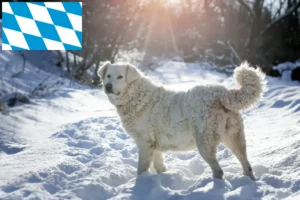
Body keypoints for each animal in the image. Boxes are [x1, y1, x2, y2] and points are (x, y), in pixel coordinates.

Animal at [98, 61, 264, 180]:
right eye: (108, 76)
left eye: (120, 77)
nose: (108, 86)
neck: (135, 96)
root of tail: (221, 92)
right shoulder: (155, 146)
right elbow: (159, 166)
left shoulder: (145, 144)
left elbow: (141, 169)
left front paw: (141, 184)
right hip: (234, 138)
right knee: (246, 164)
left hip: (205, 144)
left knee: (218, 170)